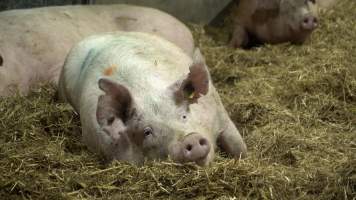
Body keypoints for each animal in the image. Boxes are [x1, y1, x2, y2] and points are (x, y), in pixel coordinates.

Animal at [58, 31, 248, 166]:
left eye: (184, 115)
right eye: (147, 132)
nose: (190, 139)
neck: (147, 92)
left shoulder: (219, 111)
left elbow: (237, 144)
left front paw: (244, 159)